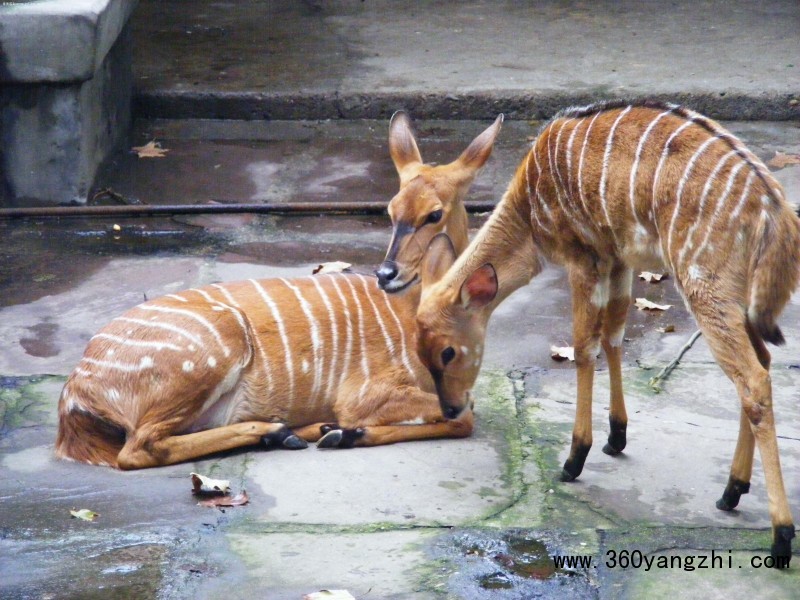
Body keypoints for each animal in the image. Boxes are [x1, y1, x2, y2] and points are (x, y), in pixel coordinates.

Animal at [54, 239, 476, 468]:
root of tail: (74, 394)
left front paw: (341, 433)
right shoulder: (364, 392)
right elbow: (466, 418)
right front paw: (347, 433)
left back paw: (299, 431)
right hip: (216, 345)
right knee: (137, 449)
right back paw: (281, 432)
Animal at [412, 101, 800, 564]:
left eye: (447, 352)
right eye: (420, 353)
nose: (451, 410)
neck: (529, 210)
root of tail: (775, 213)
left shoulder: (584, 256)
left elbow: (583, 347)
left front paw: (574, 458)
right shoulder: (618, 257)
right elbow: (614, 336)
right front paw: (617, 437)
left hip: (705, 285)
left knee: (753, 379)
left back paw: (780, 536)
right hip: (734, 297)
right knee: (762, 364)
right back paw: (731, 492)